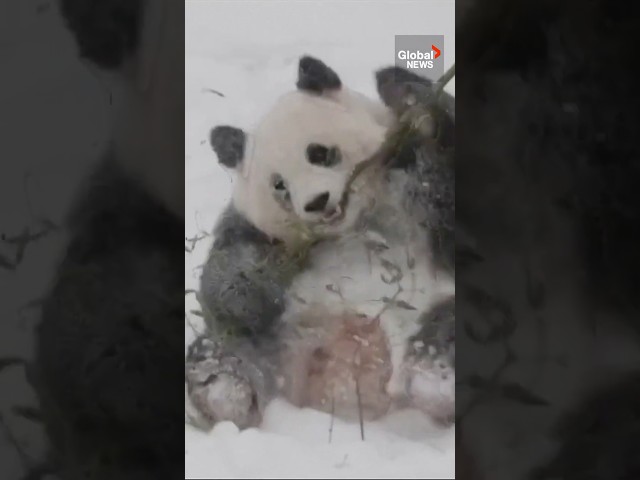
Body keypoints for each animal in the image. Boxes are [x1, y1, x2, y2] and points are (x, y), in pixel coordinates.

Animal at [185, 55, 456, 432]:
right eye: (279, 185)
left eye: (319, 153)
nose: (317, 202)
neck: (357, 224)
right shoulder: (258, 233)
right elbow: (230, 277)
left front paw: (405, 94)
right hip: (273, 347)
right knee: (223, 348)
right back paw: (221, 391)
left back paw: (434, 377)